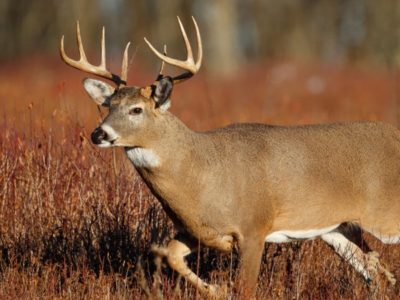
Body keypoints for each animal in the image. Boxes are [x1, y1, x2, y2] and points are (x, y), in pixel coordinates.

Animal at [60, 18, 400, 298]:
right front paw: (216, 288)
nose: (98, 134)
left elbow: (245, 289)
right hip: (338, 228)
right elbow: (168, 254)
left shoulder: (254, 226)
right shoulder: (197, 230)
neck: (202, 173)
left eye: (136, 109)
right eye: (108, 105)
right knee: (377, 273)